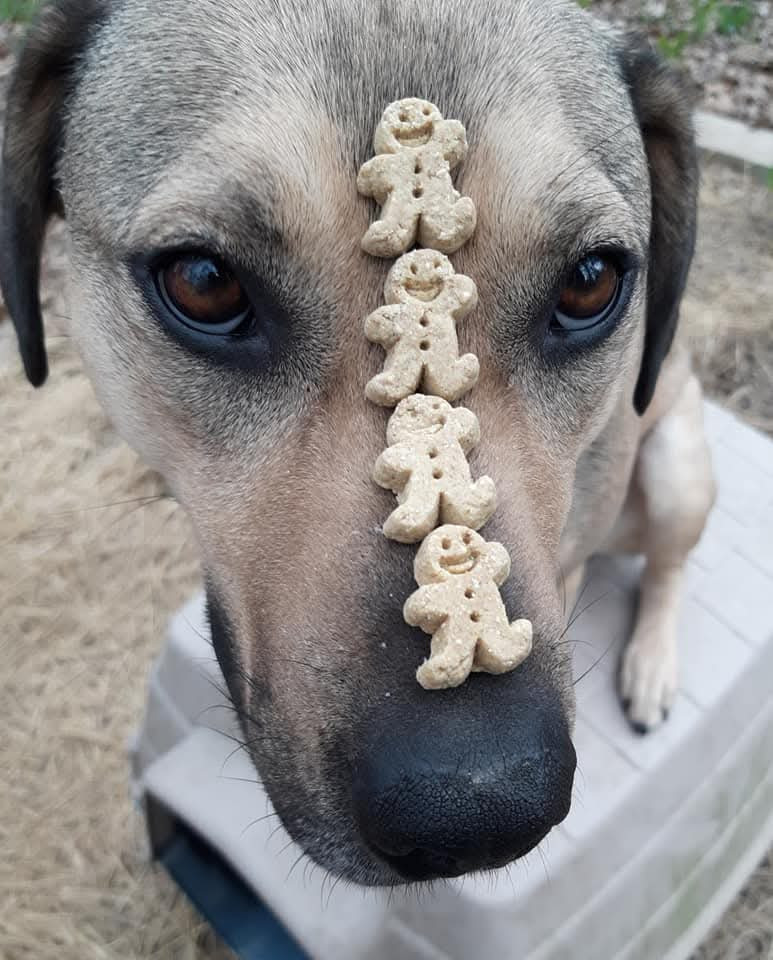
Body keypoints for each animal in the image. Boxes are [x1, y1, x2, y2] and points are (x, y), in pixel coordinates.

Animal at [1, 0, 715, 886]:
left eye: (591, 281)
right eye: (203, 283)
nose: (475, 810)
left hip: (678, 465)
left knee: (667, 566)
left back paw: (651, 665)